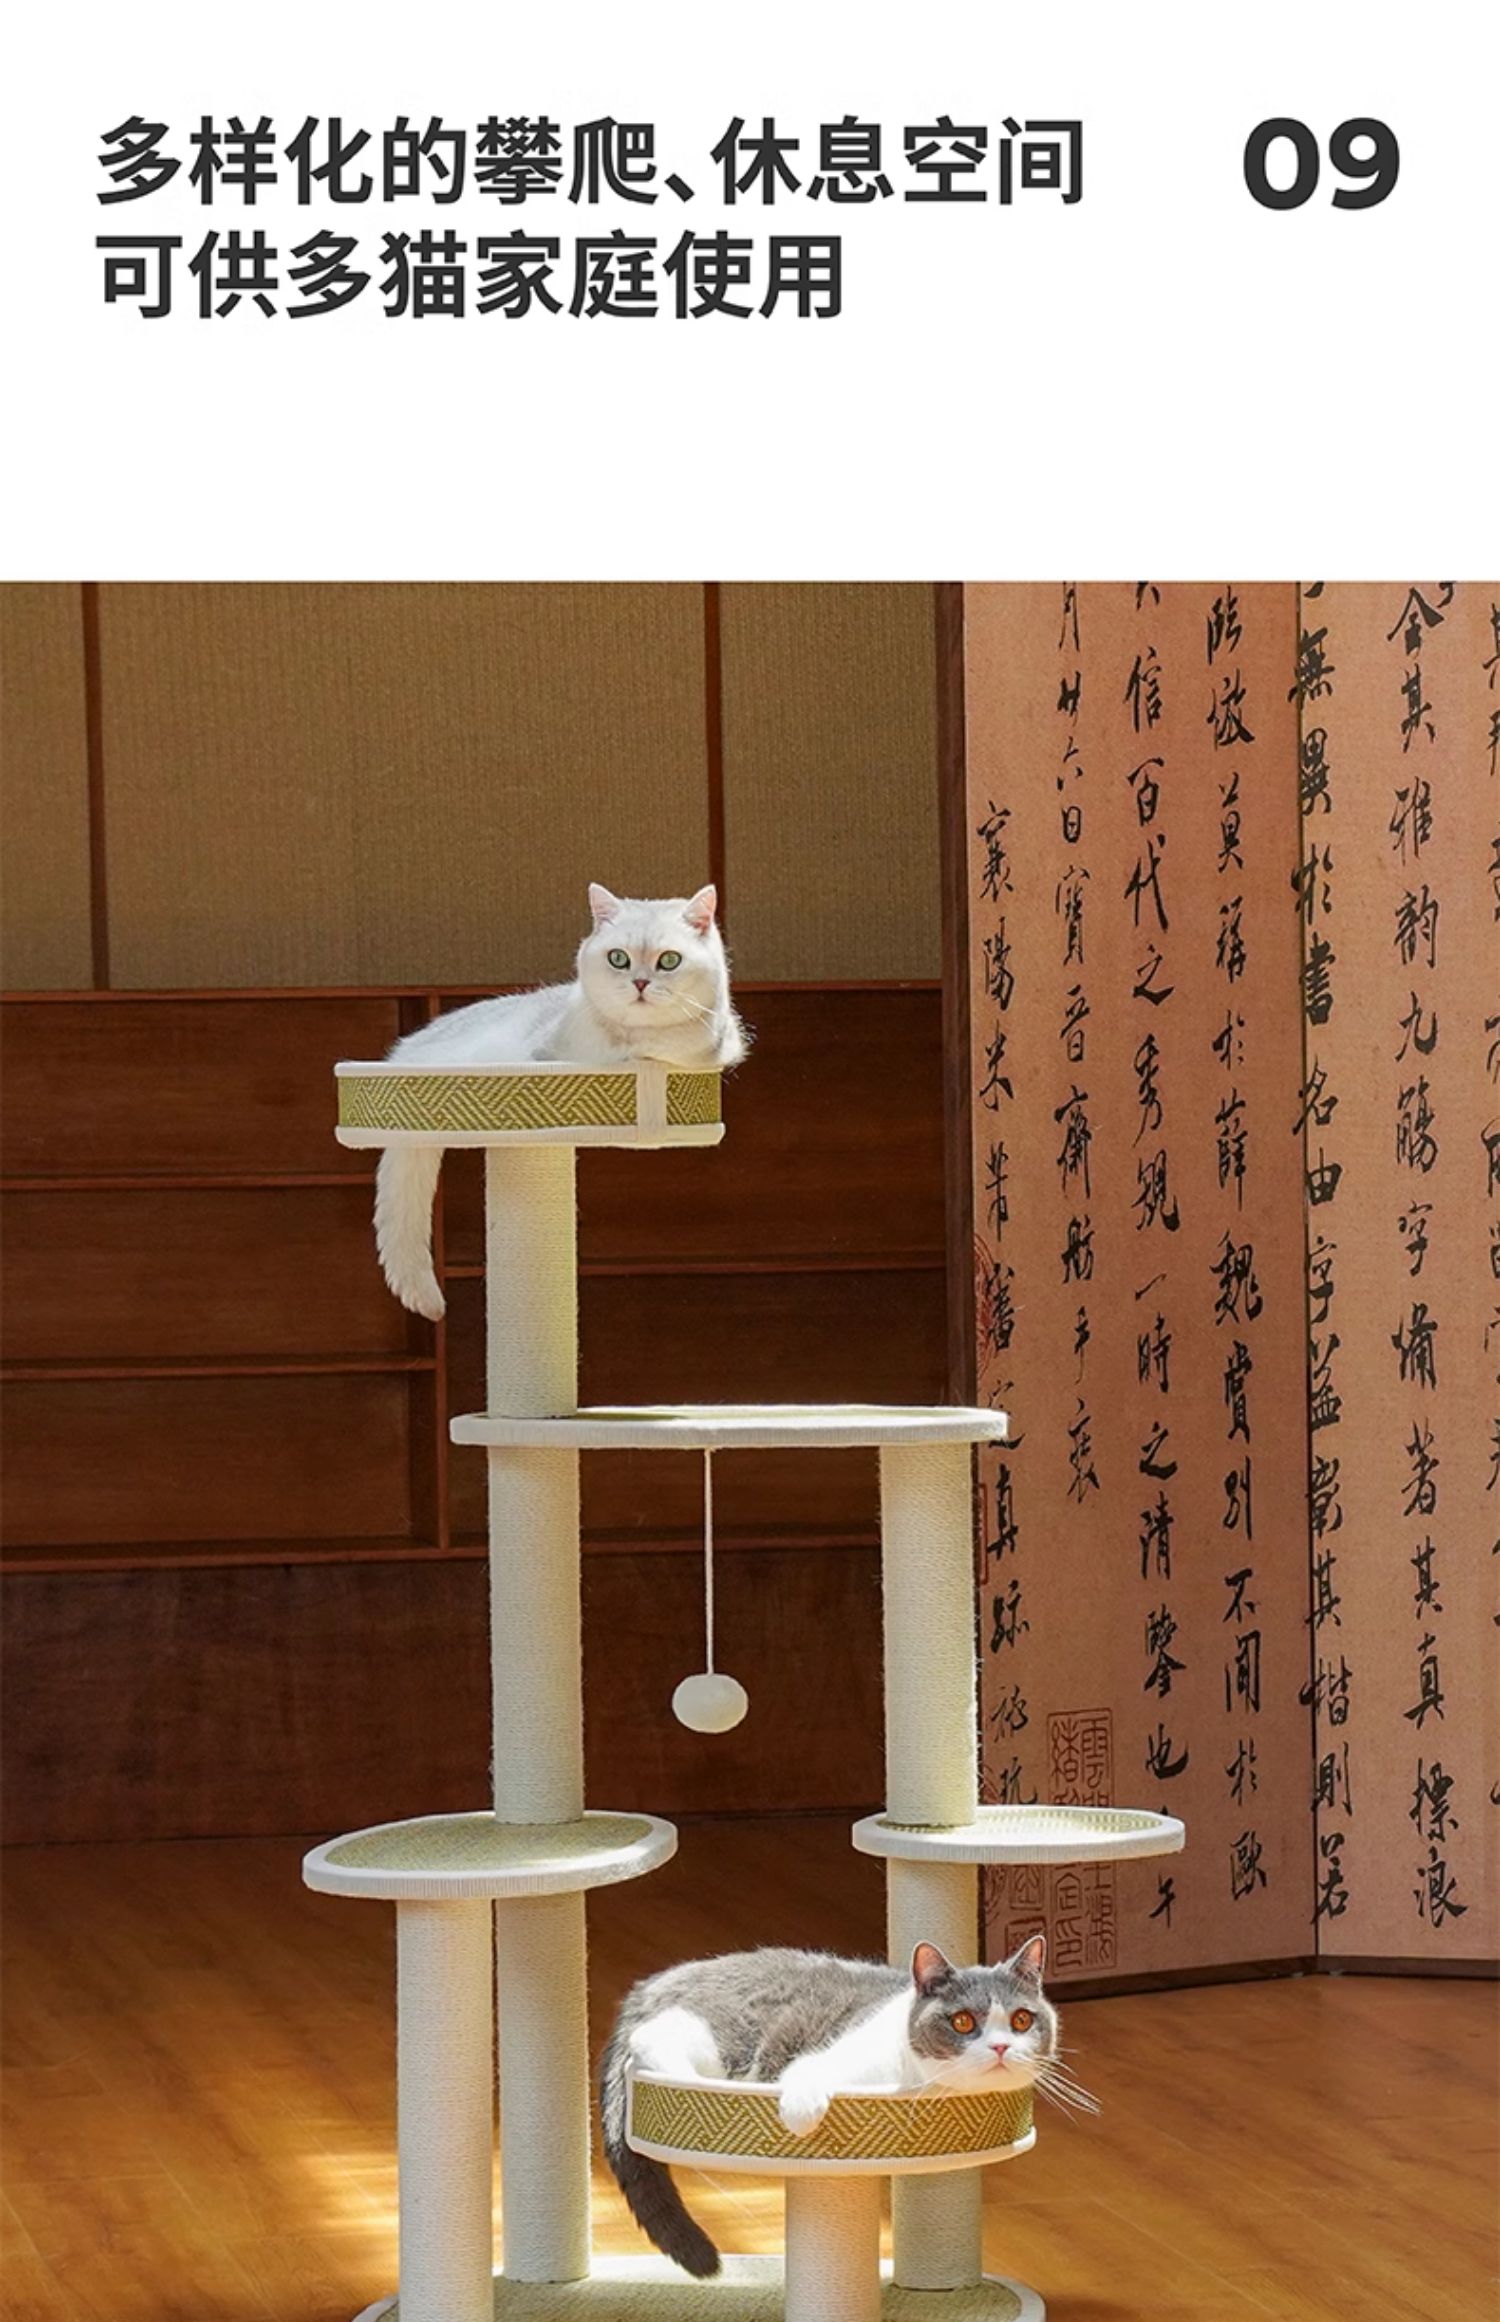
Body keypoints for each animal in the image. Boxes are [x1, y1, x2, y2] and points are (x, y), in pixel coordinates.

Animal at [372, 883, 747, 1320]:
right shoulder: (543, 1054)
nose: (639, 983)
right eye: (618, 958)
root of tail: (404, 1053)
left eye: (669, 960)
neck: (632, 1045)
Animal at [599, 1935, 1060, 2280]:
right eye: (963, 2022)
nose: (1000, 2047)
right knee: (650, 2040)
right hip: (718, 2034)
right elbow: (807, 2074)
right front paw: (801, 2117)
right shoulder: (834, 2055)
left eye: (1021, 2020)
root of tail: (654, 1983)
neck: (918, 2083)